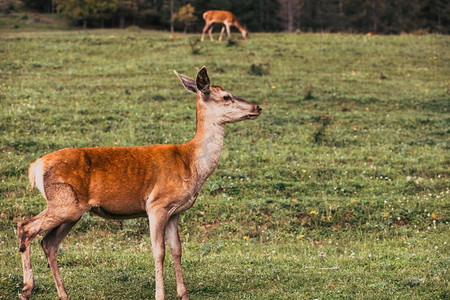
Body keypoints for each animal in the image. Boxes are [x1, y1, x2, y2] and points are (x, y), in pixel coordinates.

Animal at [17, 66, 262, 300]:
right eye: (226, 96)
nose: (257, 107)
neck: (191, 164)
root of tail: (36, 167)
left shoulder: (175, 211)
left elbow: (177, 249)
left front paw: (183, 294)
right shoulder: (156, 205)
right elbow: (159, 251)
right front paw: (160, 295)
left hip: (72, 211)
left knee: (49, 243)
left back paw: (63, 294)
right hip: (64, 202)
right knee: (25, 227)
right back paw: (26, 289)